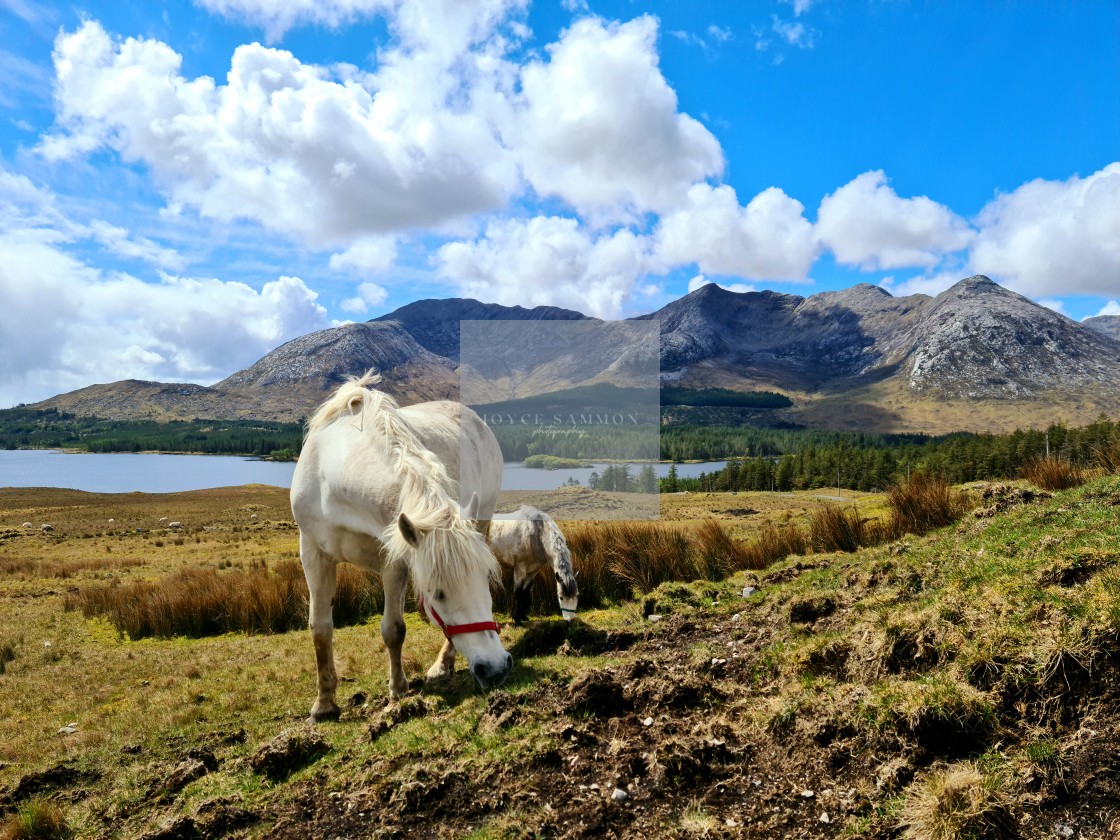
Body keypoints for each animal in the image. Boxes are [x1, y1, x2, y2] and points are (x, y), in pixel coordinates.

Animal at [293, 374, 512, 725]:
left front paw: (397, 692)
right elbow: (320, 628)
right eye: (437, 594)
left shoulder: (393, 560)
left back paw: (442, 665)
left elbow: (393, 629)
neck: (336, 471)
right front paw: (324, 704)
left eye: (486, 583)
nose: (495, 669)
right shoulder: (313, 553)